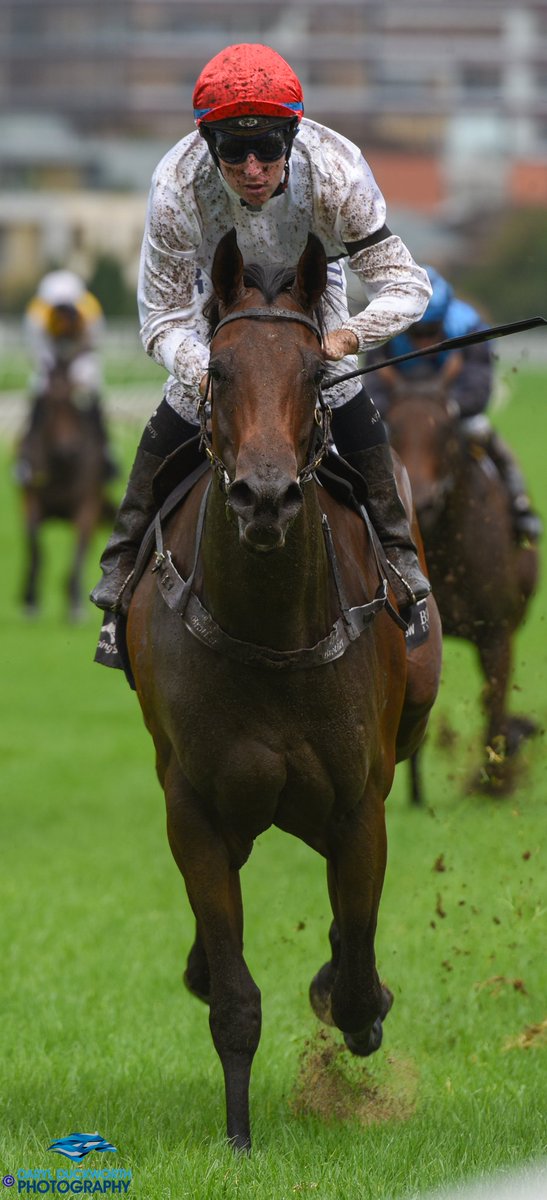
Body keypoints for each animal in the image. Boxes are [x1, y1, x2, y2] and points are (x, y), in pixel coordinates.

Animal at [15, 361, 111, 620]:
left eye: (74, 403)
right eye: (47, 405)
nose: (68, 450)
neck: (61, 469)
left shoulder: (87, 504)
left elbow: (78, 551)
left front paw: (75, 602)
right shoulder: (31, 500)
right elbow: (35, 547)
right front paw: (30, 598)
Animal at [125, 229, 442, 1152]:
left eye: (311, 373)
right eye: (222, 371)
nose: (262, 497)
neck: (269, 630)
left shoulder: (358, 806)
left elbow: (358, 965)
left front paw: (356, 1003)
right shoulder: (196, 808)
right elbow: (232, 993)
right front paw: (237, 1136)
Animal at [384, 382, 539, 802]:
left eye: (446, 433)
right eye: (393, 427)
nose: (423, 501)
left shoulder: (497, 632)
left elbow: (494, 696)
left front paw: (496, 782)